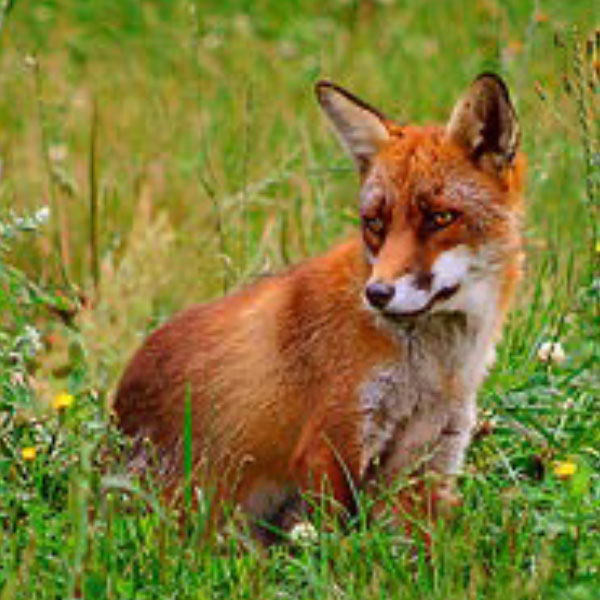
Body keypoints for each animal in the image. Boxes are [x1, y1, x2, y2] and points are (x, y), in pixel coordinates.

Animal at [113, 72, 524, 540]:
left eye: (440, 218)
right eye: (375, 223)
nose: (377, 294)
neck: (434, 371)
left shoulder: (428, 459)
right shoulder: (331, 441)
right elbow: (334, 545)